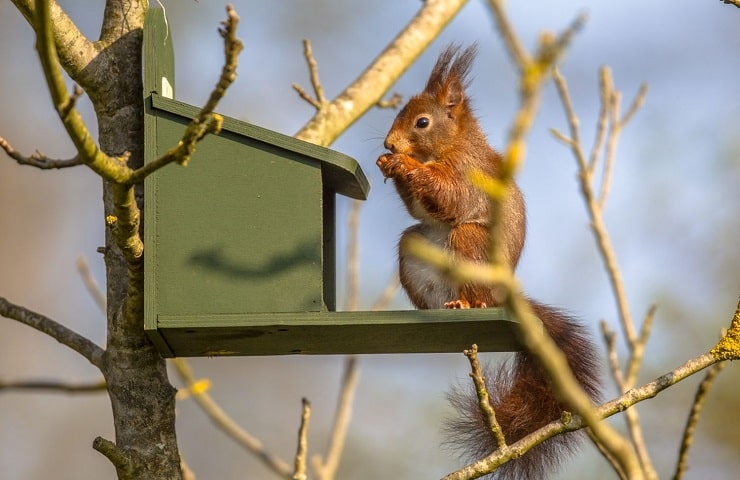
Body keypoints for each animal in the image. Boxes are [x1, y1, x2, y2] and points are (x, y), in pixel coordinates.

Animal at [376, 44, 601, 479]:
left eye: (422, 122)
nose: (390, 144)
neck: (451, 145)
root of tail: (502, 296)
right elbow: (420, 207)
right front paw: (387, 165)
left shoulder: (468, 173)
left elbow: (449, 195)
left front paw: (406, 166)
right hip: (415, 249)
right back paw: (436, 309)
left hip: (472, 242)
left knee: (469, 268)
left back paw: (467, 303)